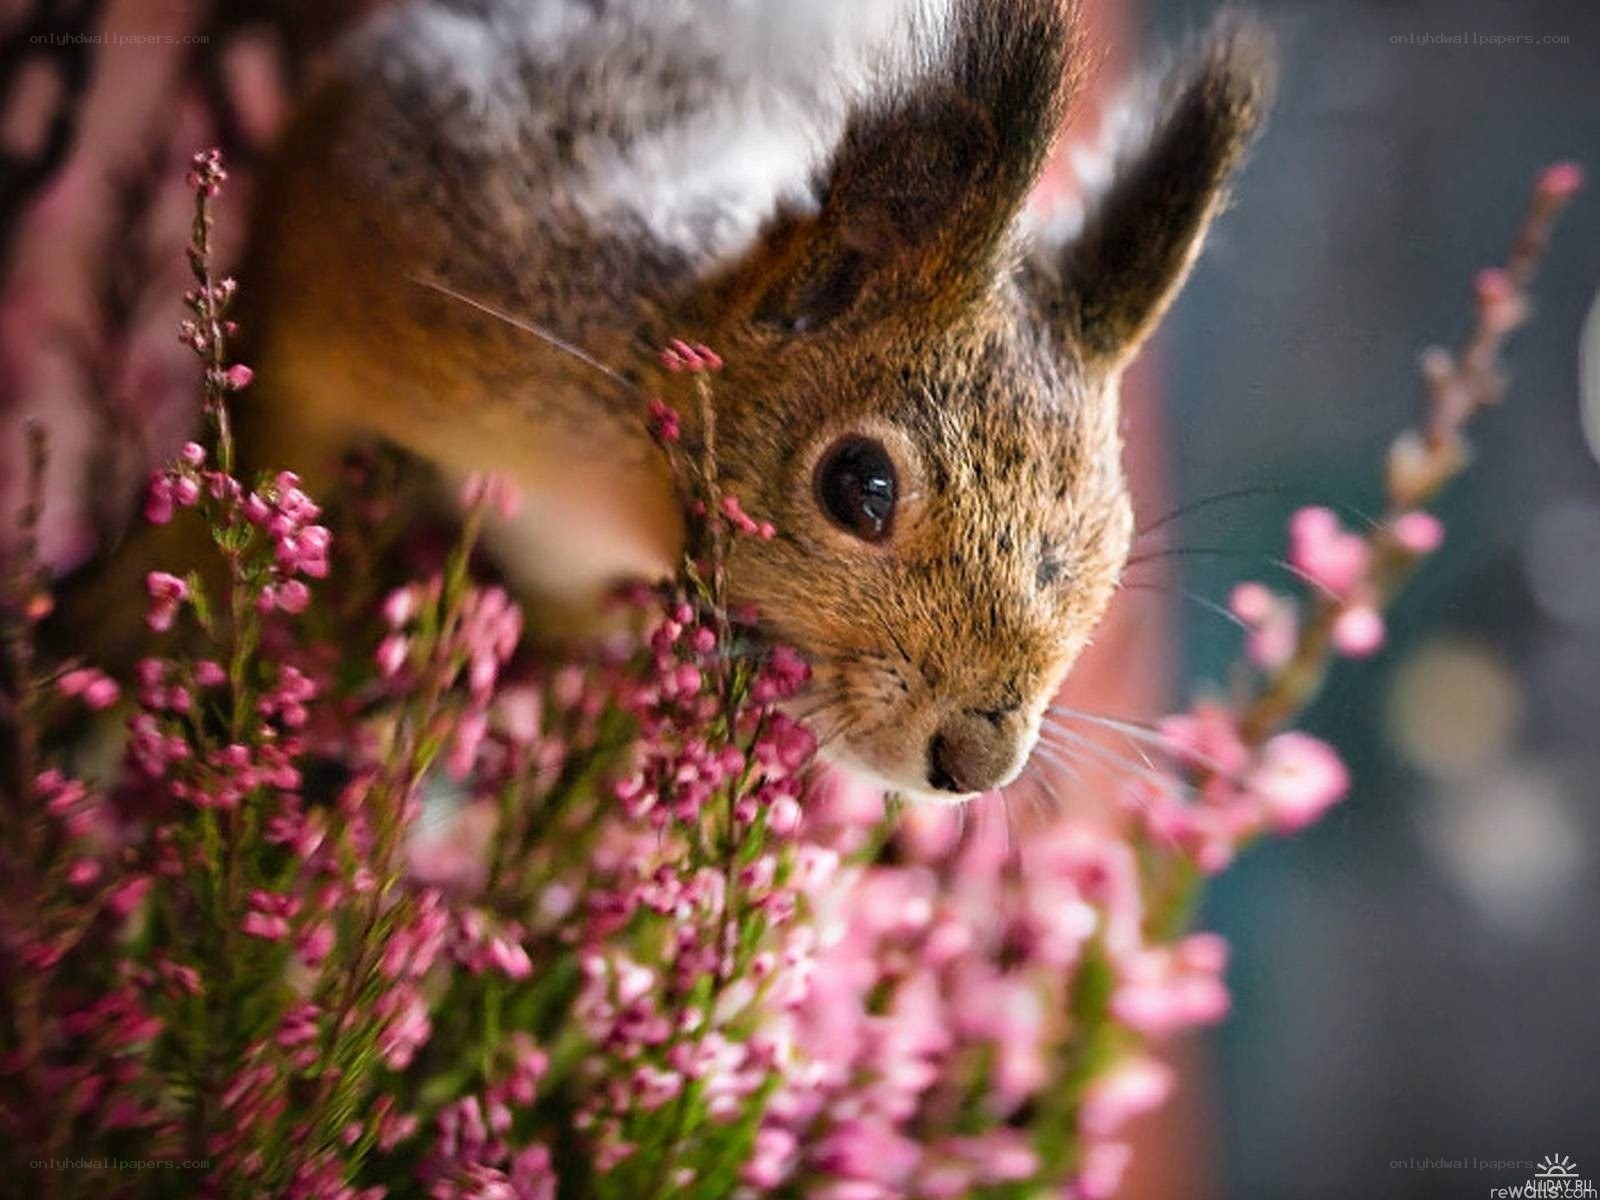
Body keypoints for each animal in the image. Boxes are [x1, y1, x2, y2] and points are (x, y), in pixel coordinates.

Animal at [78, 0, 1274, 804]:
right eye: (860, 485)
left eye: (1114, 536)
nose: (975, 763)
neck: (618, 492)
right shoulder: (350, 276)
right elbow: (276, 423)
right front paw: (163, 590)